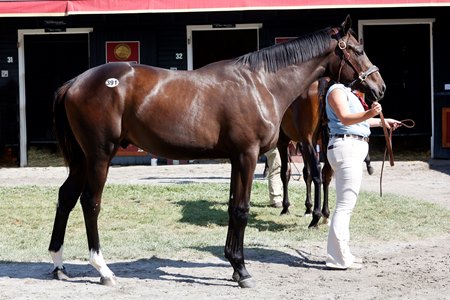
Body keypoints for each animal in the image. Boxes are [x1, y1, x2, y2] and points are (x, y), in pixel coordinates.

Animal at [50, 16, 386, 288]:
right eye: (357, 49)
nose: (379, 87)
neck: (261, 83)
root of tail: (75, 82)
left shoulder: (236, 158)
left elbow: (231, 207)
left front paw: (234, 265)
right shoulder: (248, 155)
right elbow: (242, 210)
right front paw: (243, 271)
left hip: (81, 159)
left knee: (66, 197)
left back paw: (59, 265)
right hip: (99, 156)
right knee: (90, 202)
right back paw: (102, 269)